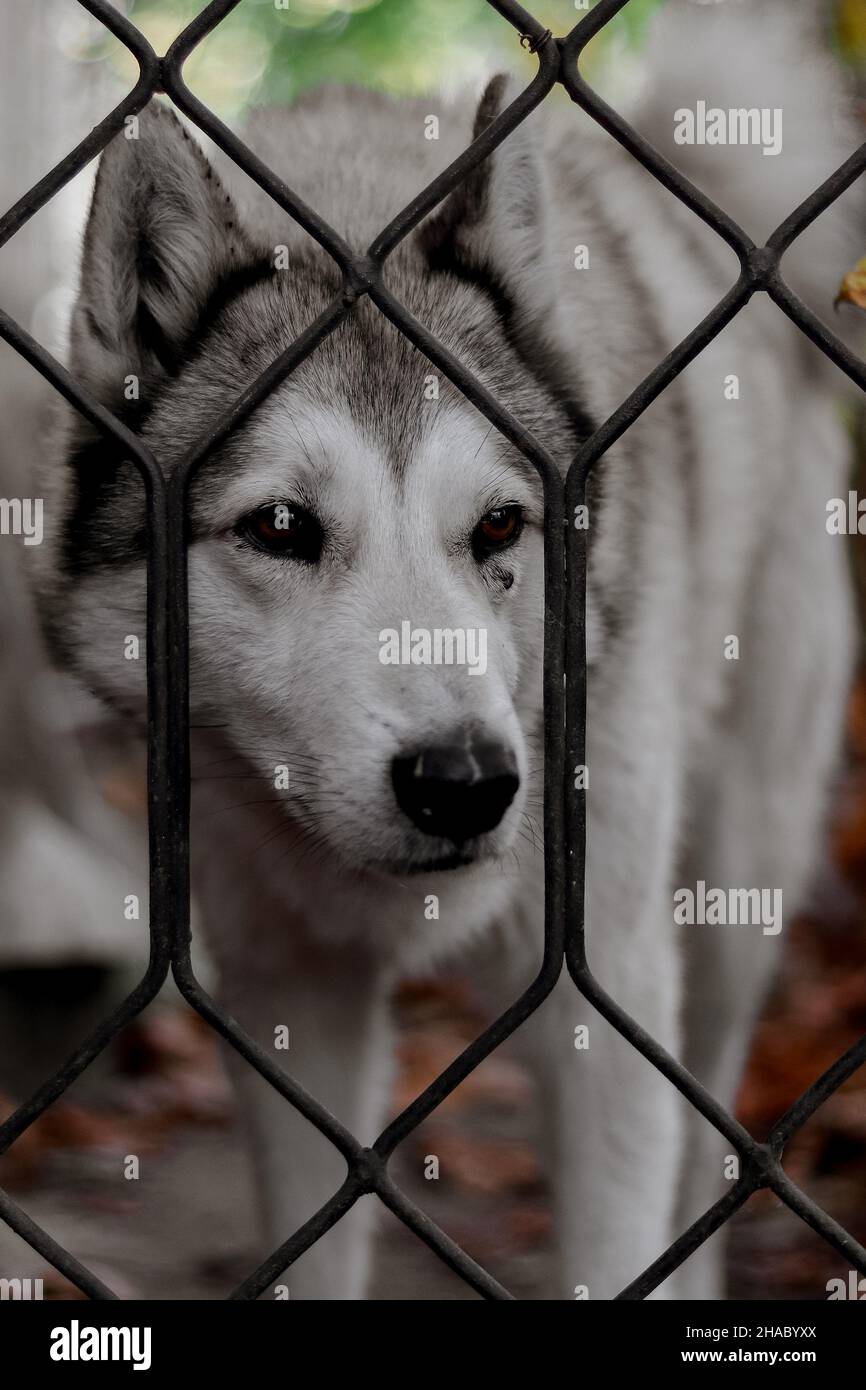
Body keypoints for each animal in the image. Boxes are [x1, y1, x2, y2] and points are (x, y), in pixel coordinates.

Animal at [35, 0, 861, 1301]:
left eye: (497, 528)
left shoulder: (602, 998)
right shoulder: (287, 988)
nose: (465, 784)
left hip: (736, 895)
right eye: (280, 527)